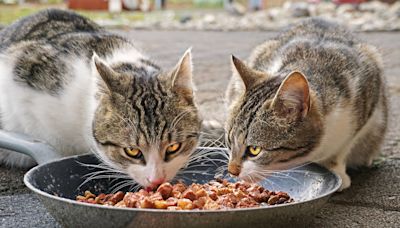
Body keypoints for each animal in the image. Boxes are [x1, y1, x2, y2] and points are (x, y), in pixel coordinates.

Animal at [223, 18, 386, 191]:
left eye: (255, 150)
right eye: (229, 141)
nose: (231, 171)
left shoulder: (367, 95)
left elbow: (342, 148)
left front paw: (336, 170)